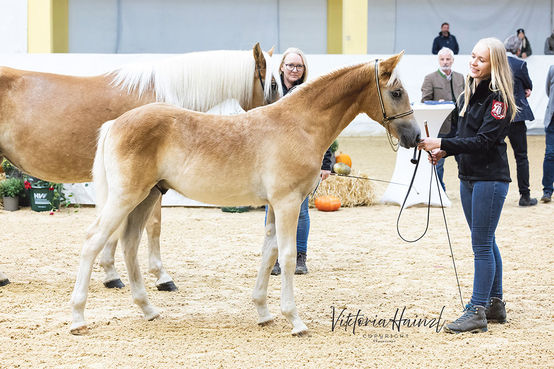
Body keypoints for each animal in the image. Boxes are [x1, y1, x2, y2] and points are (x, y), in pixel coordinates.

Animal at [71, 52, 420, 336]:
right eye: (397, 92)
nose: (415, 136)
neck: (299, 124)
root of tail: (116, 123)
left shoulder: (275, 207)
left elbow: (269, 254)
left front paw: (264, 313)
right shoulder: (287, 203)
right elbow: (287, 256)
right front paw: (295, 320)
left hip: (146, 197)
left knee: (129, 245)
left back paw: (148, 310)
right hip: (126, 197)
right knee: (92, 241)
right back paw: (78, 318)